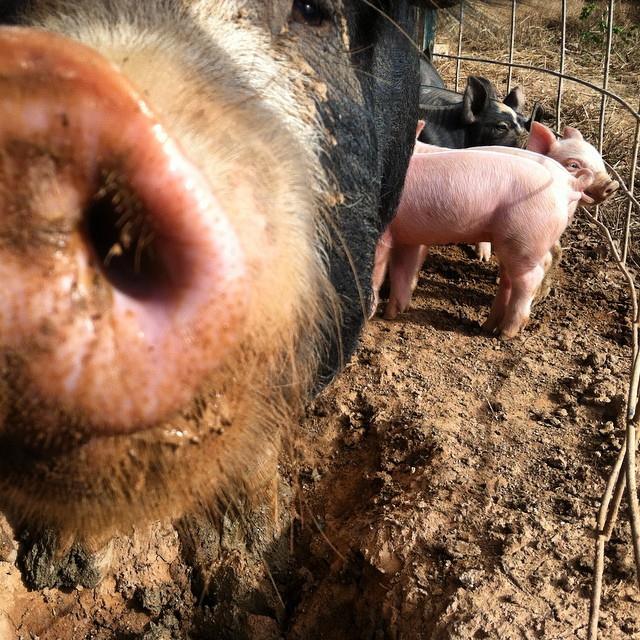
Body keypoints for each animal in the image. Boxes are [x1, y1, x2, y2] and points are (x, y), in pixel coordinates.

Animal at [370, 145, 594, 338]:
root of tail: (569, 186)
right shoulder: (408, 237)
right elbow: (403, 272)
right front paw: (390, 315)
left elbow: (379, 271)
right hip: (511, 243)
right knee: (509, 280)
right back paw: (488, 327)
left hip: (525, 240)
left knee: (529, 279)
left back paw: (505, 333)